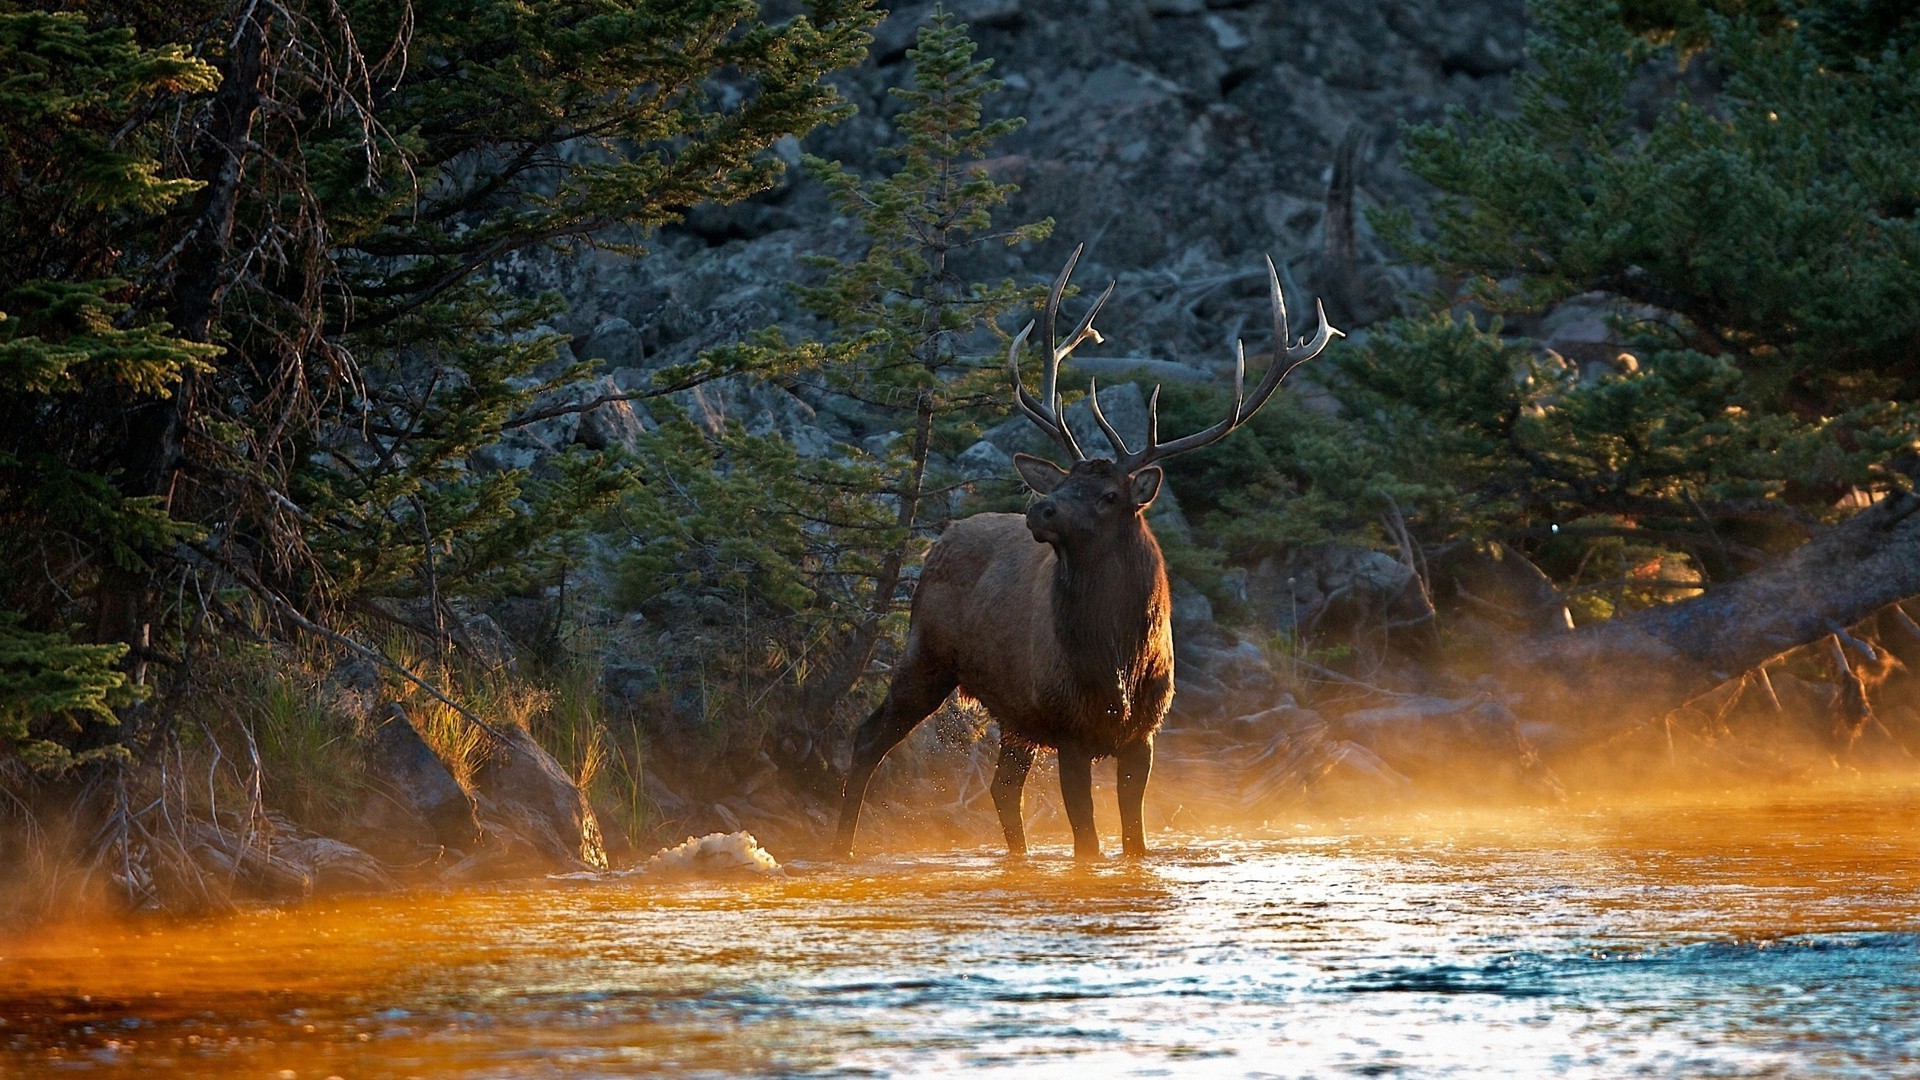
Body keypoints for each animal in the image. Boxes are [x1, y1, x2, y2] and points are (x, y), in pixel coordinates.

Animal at [833, 244, 1344, 857]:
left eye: (1107, 495)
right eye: (1063, 481)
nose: (1040, 509)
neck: (1116, 664)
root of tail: (940, 541)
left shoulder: (1143, 733)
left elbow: (1134, 841)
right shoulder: (1070, 729)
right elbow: (1087, 843)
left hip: (1016, 712)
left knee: (1002, 788)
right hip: (926, 653)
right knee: (868, 738)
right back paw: (840, 847)